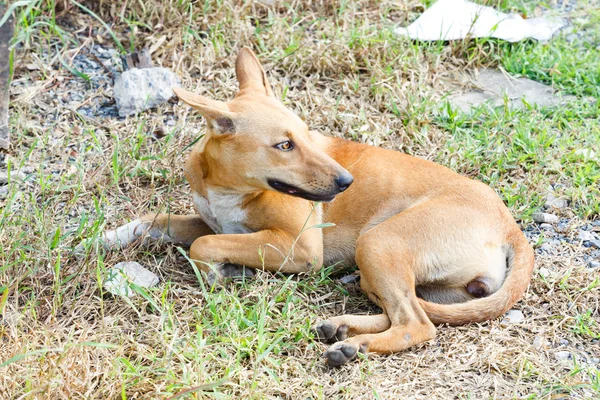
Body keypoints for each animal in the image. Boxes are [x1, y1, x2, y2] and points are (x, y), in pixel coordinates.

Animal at [92, 47, 536, 368]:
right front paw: (103, 239)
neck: (228, 184)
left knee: (417, 324)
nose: (346, 183)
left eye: (307, 135)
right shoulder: (211, 222)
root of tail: (510, 227)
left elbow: (204, 247)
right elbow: (155, 220)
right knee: (406, 312)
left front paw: (221, 273)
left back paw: (354, 347)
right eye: (285, 144)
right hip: (394, 273)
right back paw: (343, 330)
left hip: (379, 242)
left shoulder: (299, 248)